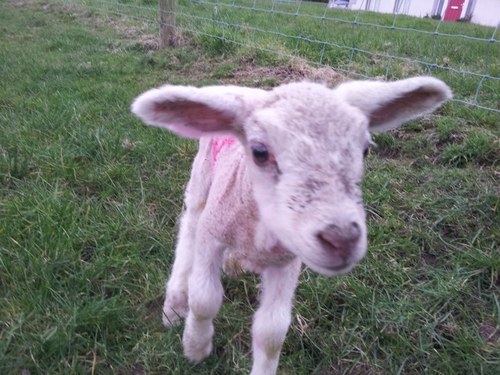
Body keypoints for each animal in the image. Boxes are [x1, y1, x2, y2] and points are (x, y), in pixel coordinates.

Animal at [131, 77, 452, 375]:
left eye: (365, 151)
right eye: (260, 152)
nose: (342, 238)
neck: (260, 231)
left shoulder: (287, 261)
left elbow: (272, 331)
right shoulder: (213, 234)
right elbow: (204, 300)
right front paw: (195, 347)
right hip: (203, 176)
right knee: (189, 227)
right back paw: (175, 304)